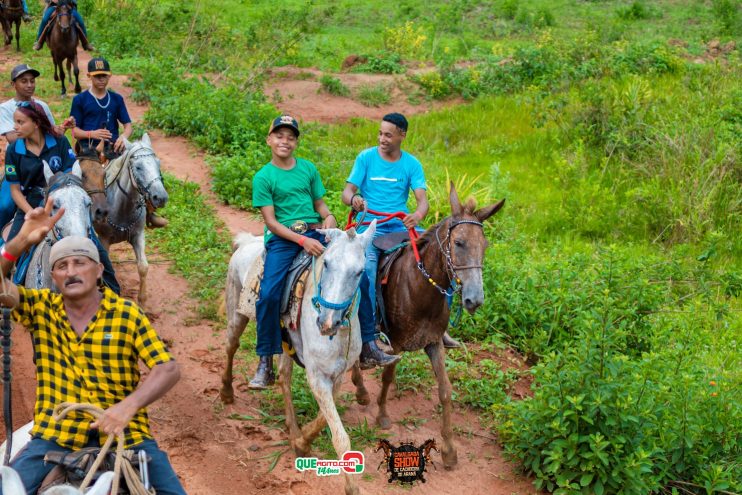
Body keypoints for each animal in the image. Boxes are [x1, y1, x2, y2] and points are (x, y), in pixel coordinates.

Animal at [93, 134, 169, 308]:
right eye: (138, 167)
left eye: (158, 163)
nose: (161, 197)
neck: (122, 207)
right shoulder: (104, 239)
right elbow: (106, 268)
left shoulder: (138, 236)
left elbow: (143, 267)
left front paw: (142, 300)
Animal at [218, 222, 374, 495]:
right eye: (327, 263)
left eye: (359, 272)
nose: (327, 323)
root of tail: (247, 242)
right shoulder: (317, 375)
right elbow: (340, 437)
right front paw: (351, 487)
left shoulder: (337, 374)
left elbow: (324, 419)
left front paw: (302, 441)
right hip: (237, 311)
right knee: (231, 346)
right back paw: (227, 392)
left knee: (284, 376)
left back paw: (292, 428)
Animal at [350, 184, 506, 470]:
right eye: (459, 243)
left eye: (485, 245)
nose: (475, 299)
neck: (419, 288)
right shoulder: (396, 343)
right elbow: (388, 377)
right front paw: (382, 415)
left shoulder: (434, 343)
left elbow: (445, 390)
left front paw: (449, 451)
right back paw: (362, 390)